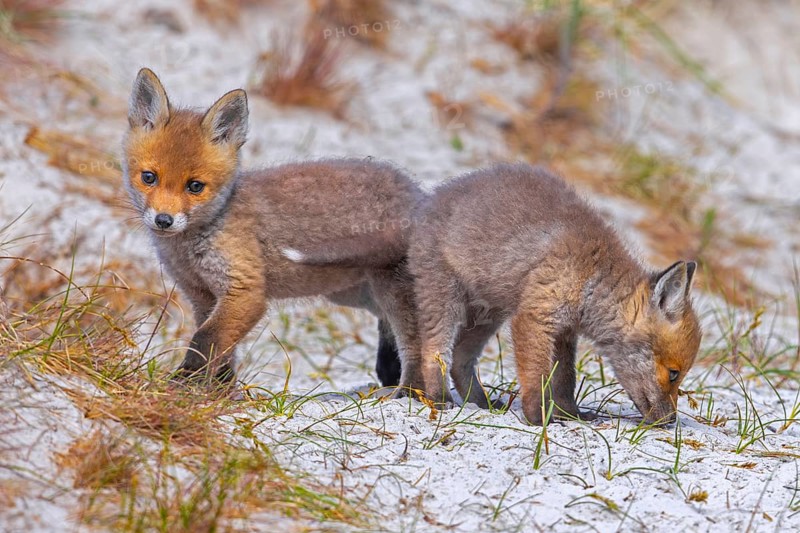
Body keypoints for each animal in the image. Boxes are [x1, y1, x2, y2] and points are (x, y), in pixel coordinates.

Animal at [122, 68, 416, 387]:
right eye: (149, 177)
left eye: (195, 186)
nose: (164, 220)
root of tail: (417, 189)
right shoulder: (202, 296)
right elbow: (222, 350)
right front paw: (220, 389)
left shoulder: (245, 291)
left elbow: (205, 339)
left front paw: (183, 384)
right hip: (356, 294)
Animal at [404, 163, 702, 425]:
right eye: (673, 374)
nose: (671, 421)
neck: (590, 276)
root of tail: (432, 198)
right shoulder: (535, 318)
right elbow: (537, 376)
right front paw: (538, 418)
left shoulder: (564, 332)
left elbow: (564, 380)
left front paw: (571, 414)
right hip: (445, 299)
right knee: (435, 352)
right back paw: (440, 398)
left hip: (488, 316)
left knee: (460, 359)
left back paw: (480, 402)